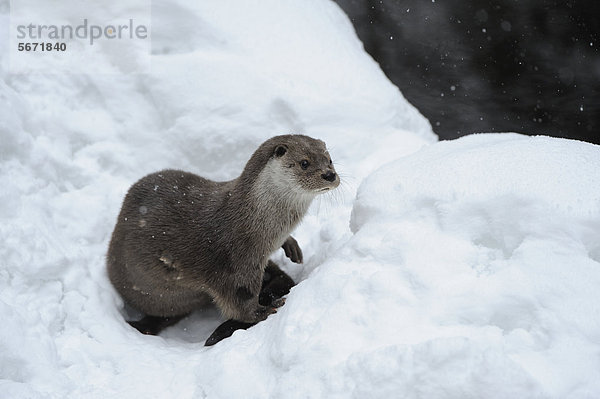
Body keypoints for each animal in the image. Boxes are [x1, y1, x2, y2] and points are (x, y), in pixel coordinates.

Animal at [107, 136, 340, 346]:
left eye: (329, 160)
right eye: (304, 163)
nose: (330, 175)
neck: (252, 220)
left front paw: (290, 244)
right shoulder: (234, 265)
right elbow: (238, 302)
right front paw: (263, 311)